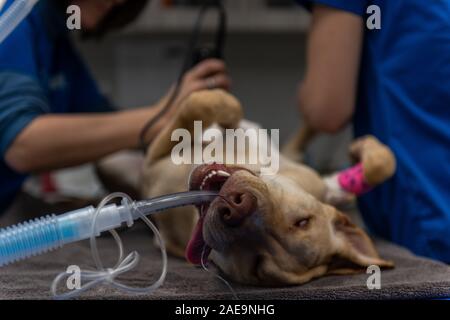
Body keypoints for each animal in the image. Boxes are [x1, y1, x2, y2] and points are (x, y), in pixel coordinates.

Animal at [140, 89, 394, 284]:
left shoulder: (154, 162)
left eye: (257, 266)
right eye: (303, 221)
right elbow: (210, 103)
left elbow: (199, 104)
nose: (237, 208)